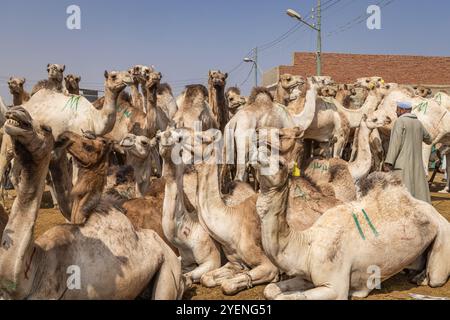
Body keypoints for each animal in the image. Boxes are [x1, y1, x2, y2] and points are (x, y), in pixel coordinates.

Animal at [156, 129, 222, 284]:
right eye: (157, 137)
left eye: (179, 139)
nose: (166, 135)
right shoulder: (185, 260)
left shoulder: (212, 258)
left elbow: (192, 276)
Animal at [182, 129, 278, 296]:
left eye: (202, 137)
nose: (179, 136)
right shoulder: (234, 261)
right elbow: (206, 278)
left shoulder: (269, 265)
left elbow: (227, 285)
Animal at [255, 148, 450, 300]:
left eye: (280, 163)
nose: (259, 150)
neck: (307, 244)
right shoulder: (307, 276)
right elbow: (270, 290)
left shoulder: (335, 286)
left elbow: (289, 296)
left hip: (443, 236)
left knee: (436, 277)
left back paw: (421, 278)